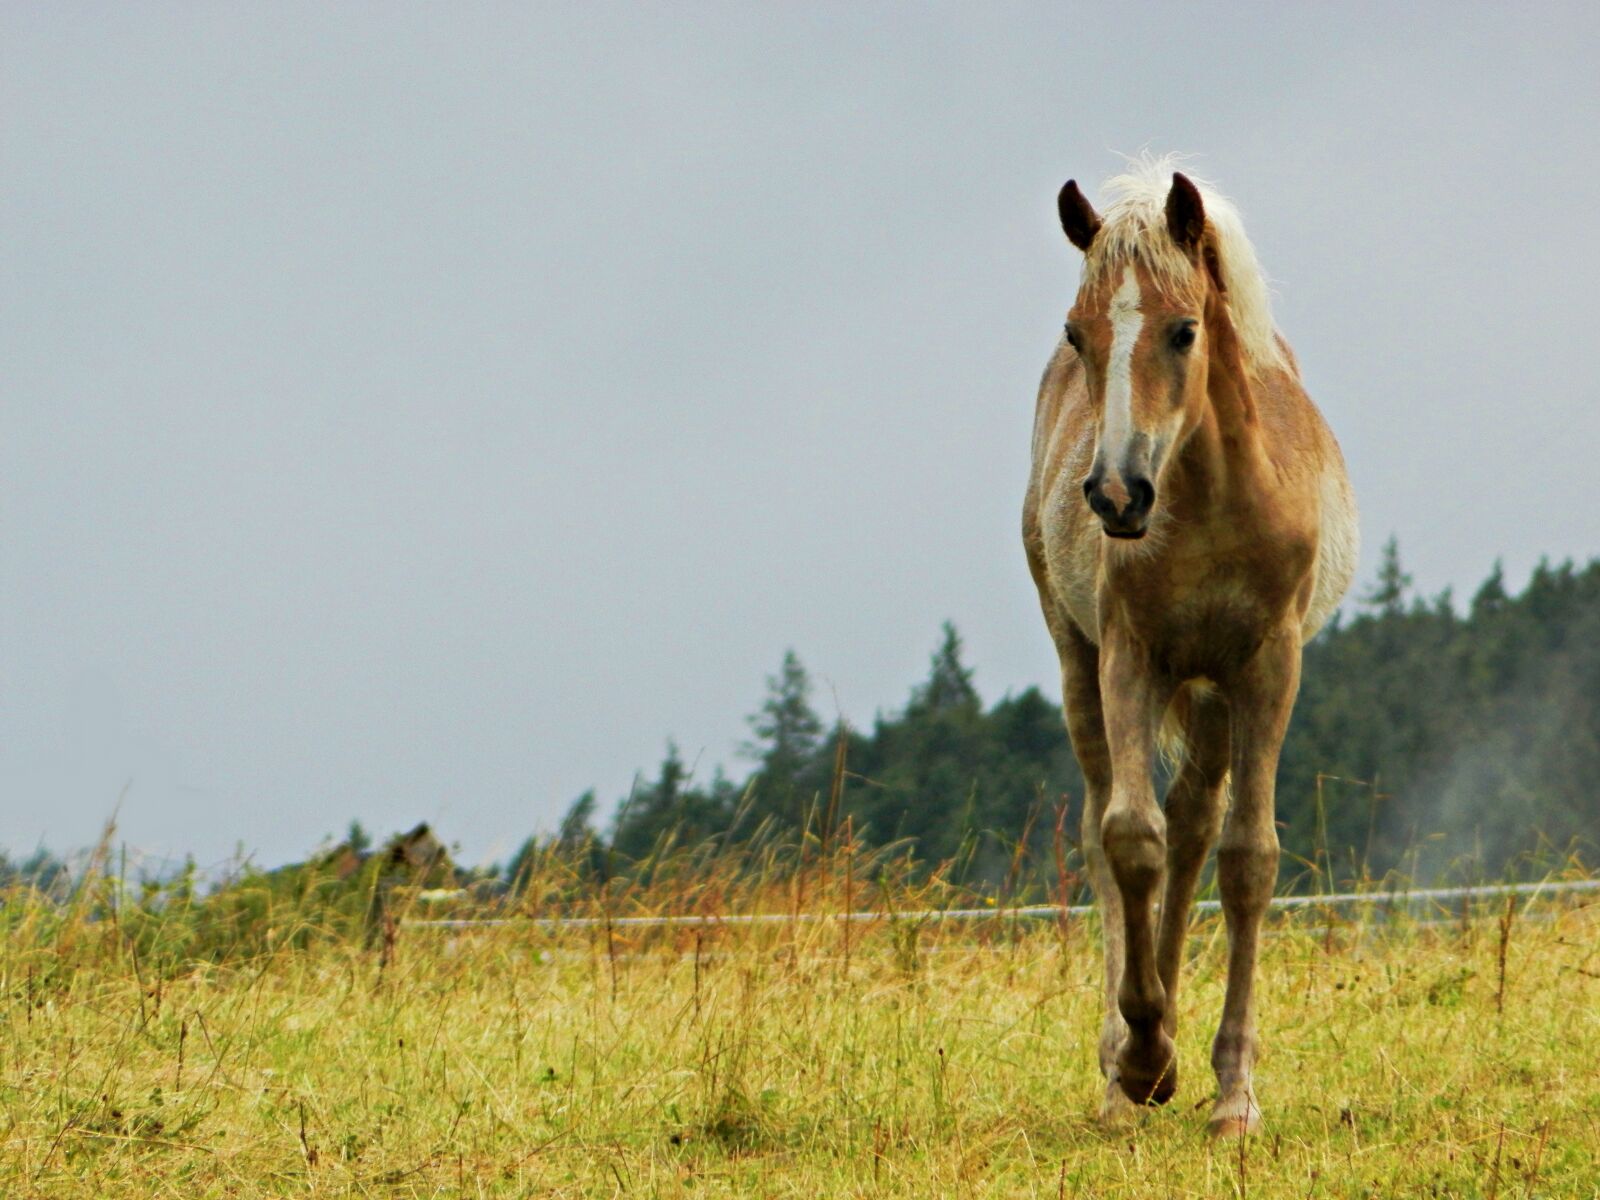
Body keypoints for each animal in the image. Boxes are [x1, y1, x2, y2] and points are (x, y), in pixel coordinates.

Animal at [1024, 157, 1350, 1139]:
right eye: (1078, 332)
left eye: (1183, 329)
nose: (1115, 493)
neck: (1211, 504)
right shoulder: (1130, 656)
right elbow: (1131, 838)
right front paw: (1142, 1060)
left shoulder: (1268, 666)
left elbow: (1247, 858)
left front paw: (1232, 1093)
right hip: (1082, 663)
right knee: (1121, 828)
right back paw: (1127, 1065)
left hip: (1213, 693)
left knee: (1197, 823)